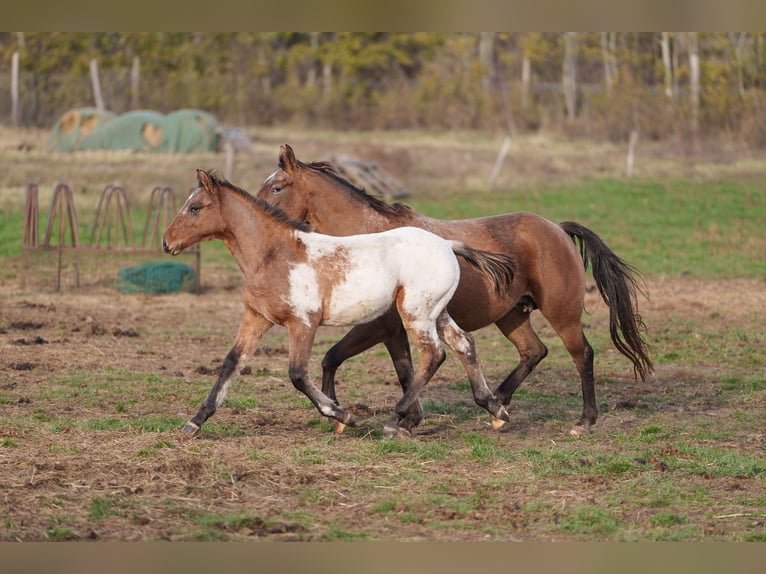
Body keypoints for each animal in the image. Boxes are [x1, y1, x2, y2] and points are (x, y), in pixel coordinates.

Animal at [164, 170, 520, 436]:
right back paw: (495, 409)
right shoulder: (256, 317)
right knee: (463, 344)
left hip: (415, 314)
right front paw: (194, 422)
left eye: (195, 207)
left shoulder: (303, 322)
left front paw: (342, 414)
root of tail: (447, 244)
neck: (274, 254)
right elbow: (230, 364)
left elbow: (297, 374)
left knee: (434, 354)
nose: (167, 242)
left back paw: (396, 420)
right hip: (437, 311)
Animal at [256, 145, 656, 436]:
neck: (371, 237)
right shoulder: (394, 329)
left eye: (277, 187)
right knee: (533, 351)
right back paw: (497, 404)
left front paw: (355, 416)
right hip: (512, 315)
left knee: (582, 355)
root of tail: (557, 229)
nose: (258, 219)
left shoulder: (379, 325)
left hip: (562, 314)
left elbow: (333, 358)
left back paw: (583, 421)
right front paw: (406, 420)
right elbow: (402, 370)